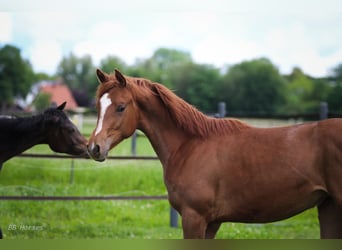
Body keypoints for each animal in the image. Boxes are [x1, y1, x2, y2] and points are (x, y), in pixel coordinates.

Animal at [87, 69, 342, 239]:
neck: (190, 146)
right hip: (328, 207)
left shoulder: (194, 218)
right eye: (98, 107)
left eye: (121, 107)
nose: (93, 148)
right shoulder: (212, 223)